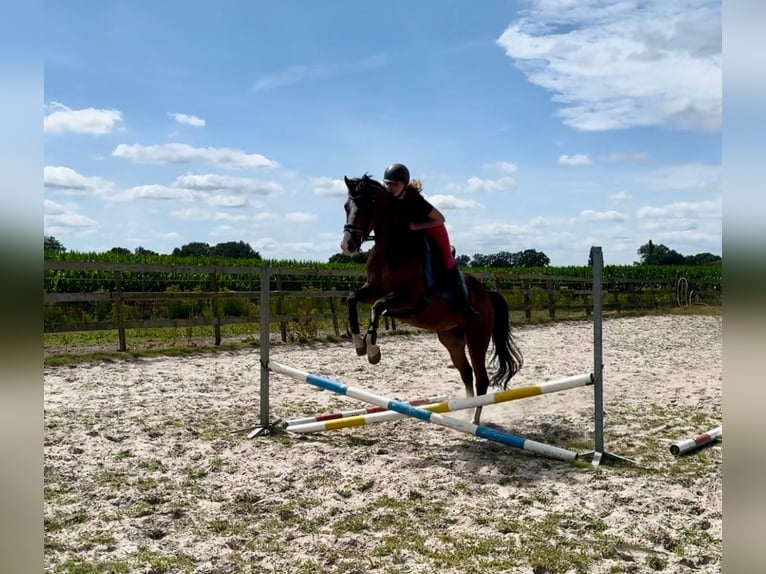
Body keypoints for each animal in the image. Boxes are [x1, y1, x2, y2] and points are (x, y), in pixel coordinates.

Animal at [339, 174, 523, 425]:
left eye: (367, 205)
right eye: (346, 207)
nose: (347, 246)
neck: (393, 248)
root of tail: (487, 296)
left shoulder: (409, 297)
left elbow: (378, 307)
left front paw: (373, 350)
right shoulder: (373, 289)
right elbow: (352, 299)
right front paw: (359, 343)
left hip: (477, 337)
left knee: (481, 378)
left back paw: (474, 421)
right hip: (451, 338)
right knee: (466, 373)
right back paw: (465, 413)